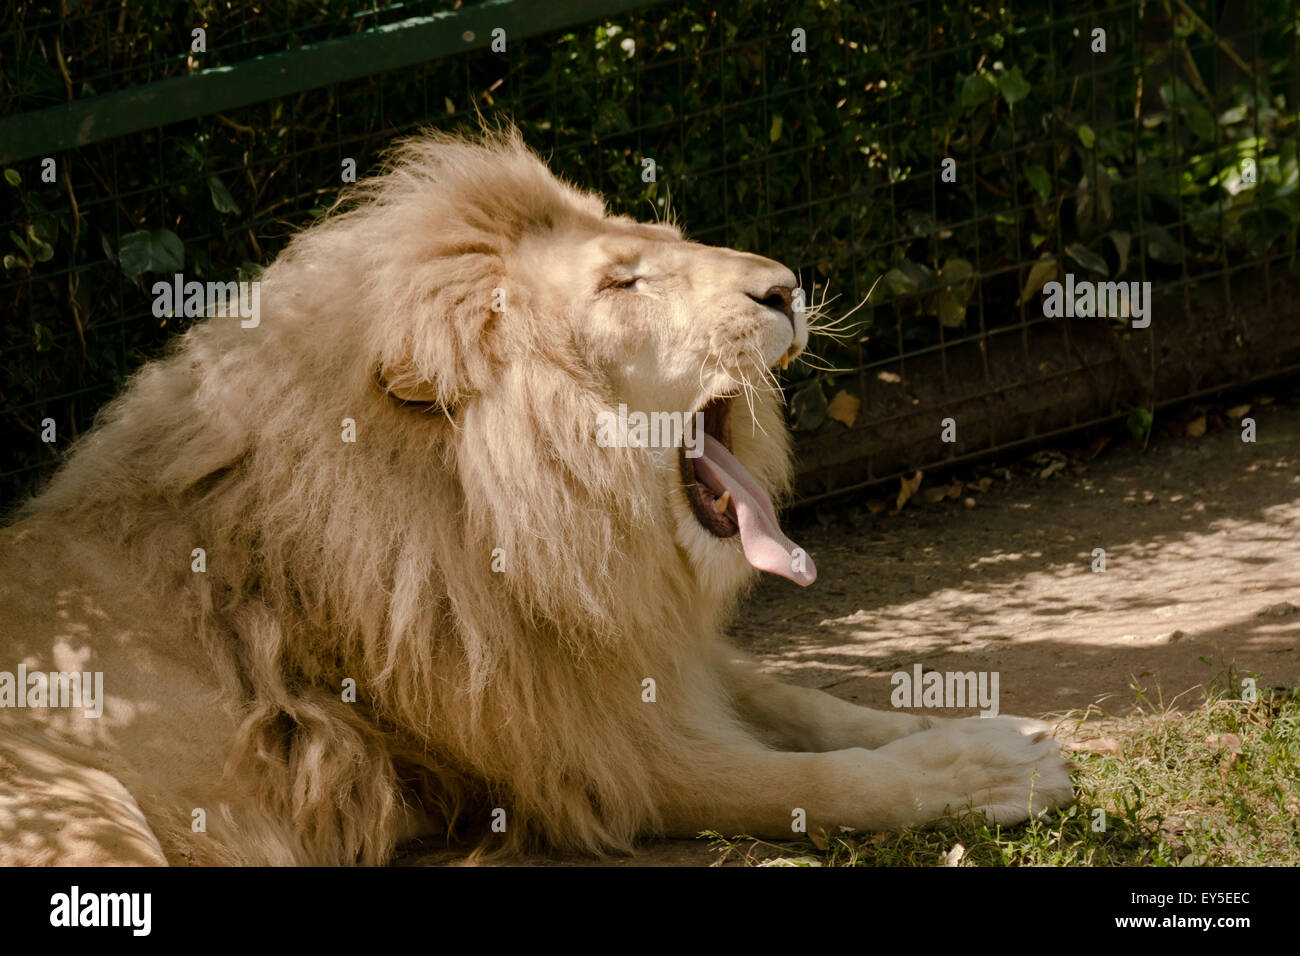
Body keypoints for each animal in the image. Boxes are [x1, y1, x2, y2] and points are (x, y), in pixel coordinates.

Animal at [0, 128, 1072, 865]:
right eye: (623, 285)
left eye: (667, 238)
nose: (786, 287)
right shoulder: (590, 761)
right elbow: (811, 778)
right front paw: (988, 770)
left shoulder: (641, 661)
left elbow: (808, 701)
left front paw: (984, 723)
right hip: (73, 809)